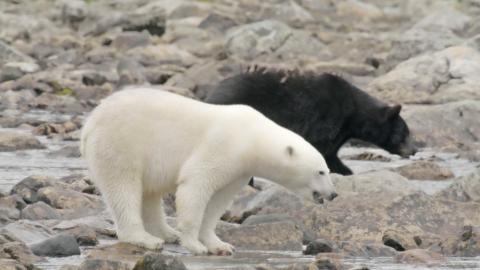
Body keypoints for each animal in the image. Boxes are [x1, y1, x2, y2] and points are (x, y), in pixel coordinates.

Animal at [80, 88, 336, 255]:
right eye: (320, 172)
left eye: (327, 169)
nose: (333, 194)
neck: (252, 137)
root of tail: (90, 122)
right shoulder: (222, 146)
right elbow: (196, 184)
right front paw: (195, 245)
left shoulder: (239, 169)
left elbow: (218, 200)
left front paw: (220, 245)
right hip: (120, 143)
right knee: (124, 187)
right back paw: (145, 239)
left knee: (150, 193)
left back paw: (166, 233)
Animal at [206, 67, 416, 176]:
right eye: (405, 133)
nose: (414, 150)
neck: (353, 112)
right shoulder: (327, 119)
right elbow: (322, 150)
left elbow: (331, 155)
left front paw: (345, 171)